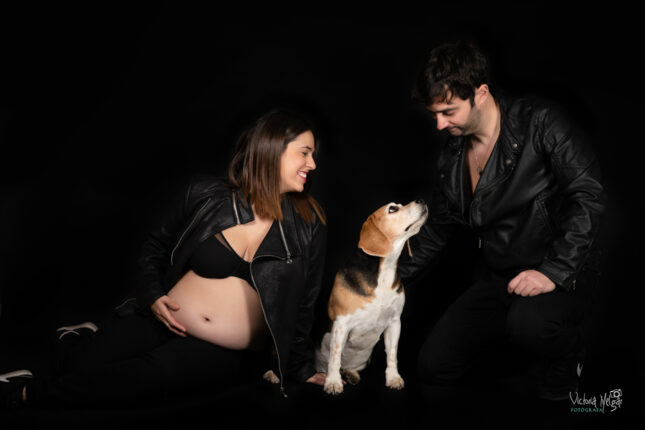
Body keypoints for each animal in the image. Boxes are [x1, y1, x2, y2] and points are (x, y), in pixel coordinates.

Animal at [315, 199, 428, 395]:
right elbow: (335, 356)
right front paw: (333, 382)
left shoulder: (394, 322)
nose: (420, 200)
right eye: (393, 209)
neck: (384, 270)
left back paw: (351, 374)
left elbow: (392, 354)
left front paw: (393, 378)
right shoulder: (341, 324)